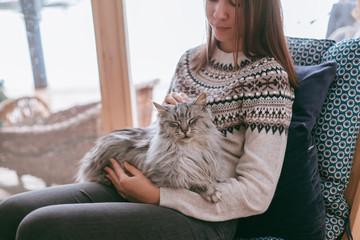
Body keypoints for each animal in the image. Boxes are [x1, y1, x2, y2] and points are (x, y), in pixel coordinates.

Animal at [76, 93, 224, 202]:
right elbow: (192, 181)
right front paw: (211, 191)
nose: (185, 130)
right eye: (175, 123)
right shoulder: (169, 175)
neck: (189, 149)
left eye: (191, 120)